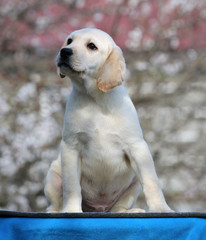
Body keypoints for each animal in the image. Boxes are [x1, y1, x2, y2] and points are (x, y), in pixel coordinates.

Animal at [44, 28, 172, 212]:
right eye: (69, 41)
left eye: (91, 46)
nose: (64, 51)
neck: (95, 100)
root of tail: (98, 209)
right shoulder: (71, 147)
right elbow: (72, 186)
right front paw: (71, 210)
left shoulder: (137, 147)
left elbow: (151, 182)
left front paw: (160, 208)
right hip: (53, 176)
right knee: (53, 205)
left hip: (133, 184)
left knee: (119, 208)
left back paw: (131, 211)